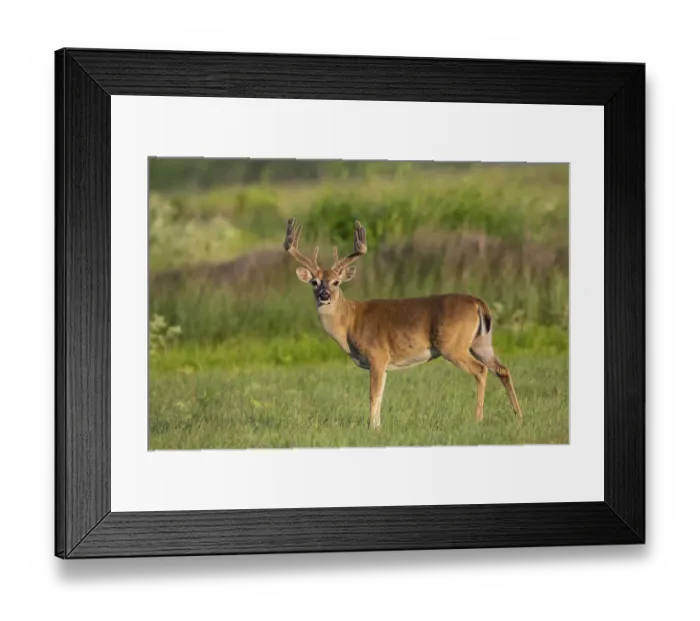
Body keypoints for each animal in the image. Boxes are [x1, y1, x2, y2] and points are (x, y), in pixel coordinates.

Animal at [283, 218, 523, 430]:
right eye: (314, 282)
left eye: (336, 282)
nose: (324, 295)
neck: (350, 322)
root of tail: (478, 302)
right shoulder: (383, 363)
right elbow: (380, 395)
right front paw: (378, 426)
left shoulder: (377, 355)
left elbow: (373, 395)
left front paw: (372, 428)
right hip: (481, 342)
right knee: (502, 369)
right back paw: (518, 415)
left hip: (453, 345)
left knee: (481, 370)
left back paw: (478, 419)